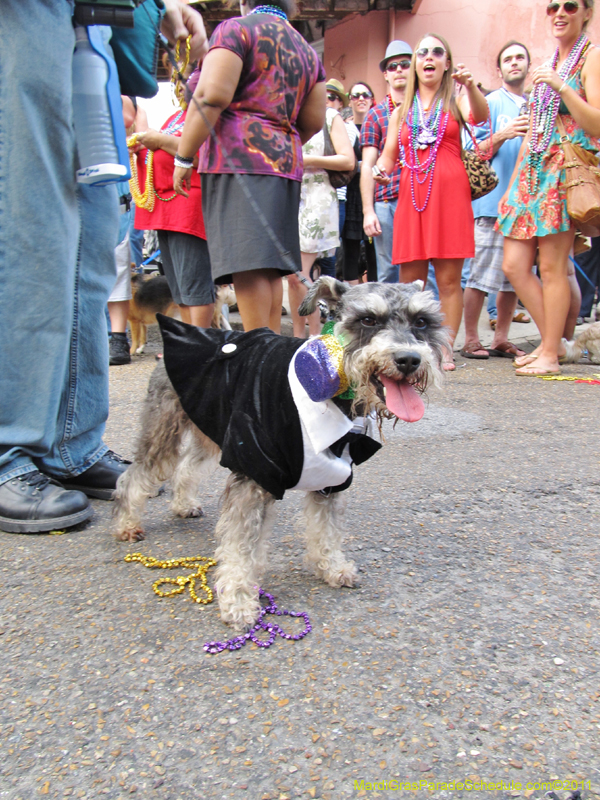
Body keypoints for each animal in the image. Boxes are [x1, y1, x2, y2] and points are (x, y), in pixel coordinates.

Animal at [113, 278, 450, 636]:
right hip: (163, 432)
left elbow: (326, 529)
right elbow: (240, 548)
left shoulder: (333, 477)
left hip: (210, 427)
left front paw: (332, 566)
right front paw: (239, 601)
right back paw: (127, 524)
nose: (408, 360)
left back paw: (183, 504)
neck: (328, 386)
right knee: (135, 475)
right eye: (368, 320)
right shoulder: (252, 475)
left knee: (188, 466)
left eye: (422, 321)